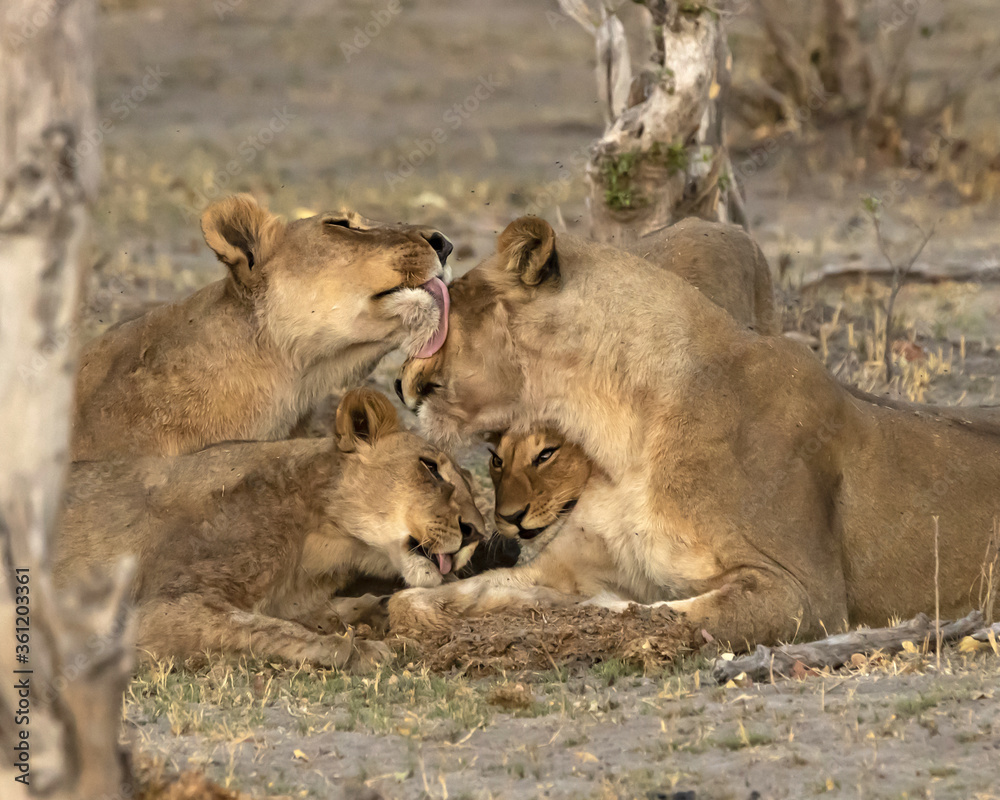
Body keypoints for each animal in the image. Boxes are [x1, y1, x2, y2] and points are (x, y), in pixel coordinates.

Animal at [56, 388, 485, 669]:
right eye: (430, 468)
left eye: (469, 483)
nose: (477, 533)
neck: (325, 544)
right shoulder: (159, 610)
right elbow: (272, 628)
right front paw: (359, 649)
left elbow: (301, 614)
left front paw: (371, 609)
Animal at [390, 216, 1000, 648]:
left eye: (445, 315)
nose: (398, 384)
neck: (622, 433)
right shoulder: (567, 563)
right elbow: (417, 601)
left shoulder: (807, 593)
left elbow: (654, 617)